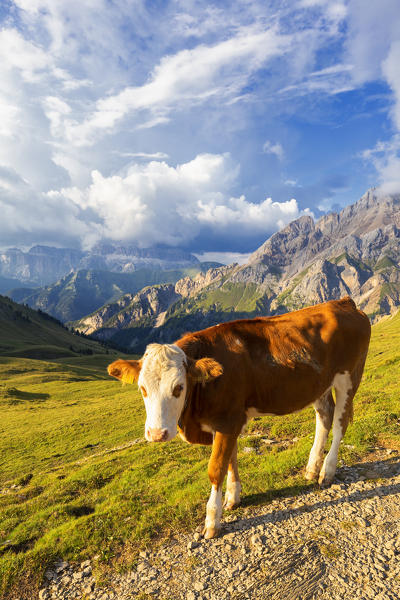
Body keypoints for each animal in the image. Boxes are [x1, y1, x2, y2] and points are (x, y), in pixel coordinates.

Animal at [108, 298, 370, 536]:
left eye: (179, 388)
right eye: (142, 388)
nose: (156, 434)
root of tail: (343, 302)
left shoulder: (228, 420)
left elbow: (216, 468)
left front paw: (212, 522)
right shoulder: (230, 421)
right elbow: (231, 459)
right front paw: (233, 497)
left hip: (350, 376)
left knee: (339, 424)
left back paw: (327, 471)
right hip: (320, 384)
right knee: (324, 417)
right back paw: (312, 468)